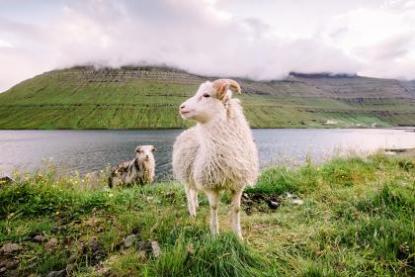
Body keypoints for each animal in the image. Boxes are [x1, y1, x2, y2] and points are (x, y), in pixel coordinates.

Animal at [171, 77, 256, 237]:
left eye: (206, 95)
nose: (181, 107)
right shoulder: (210, 185)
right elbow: (214, 208)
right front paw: (215, 234)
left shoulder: (238, 184)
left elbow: (236, 209)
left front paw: (238, 235)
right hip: (186, 173)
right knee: (188, 192)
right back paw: (192, 211)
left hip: (193, 173)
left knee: (193, 192)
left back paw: (196, 206)